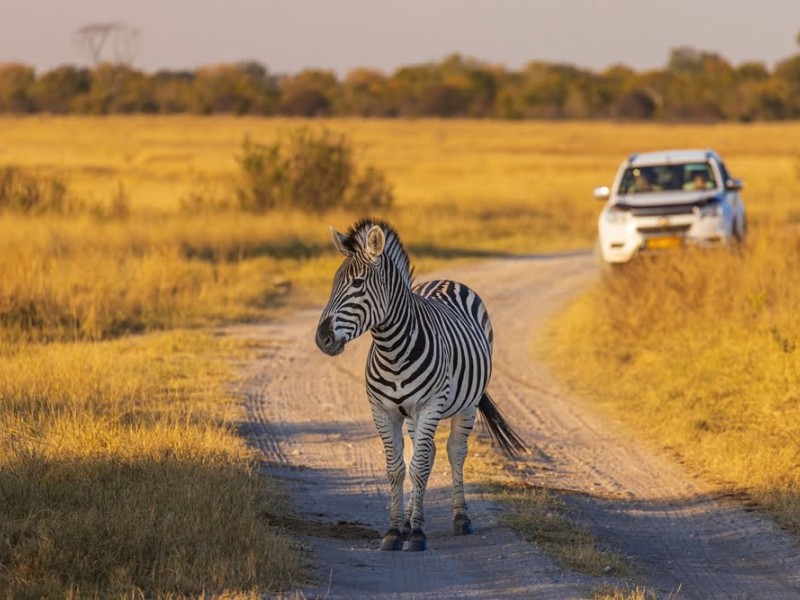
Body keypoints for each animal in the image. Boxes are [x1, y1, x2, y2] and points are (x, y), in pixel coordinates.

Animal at [315, 218, 526, 552]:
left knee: (454, 451)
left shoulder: (428, 406)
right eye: (334, 283)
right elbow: (397, 468)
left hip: (465, 404)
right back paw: (410, 519)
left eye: (358, 284)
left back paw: (460, 518)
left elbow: (421, 466)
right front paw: (395, 530)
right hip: (415, 415)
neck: (391, 349)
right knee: (426, 453)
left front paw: (416, 533)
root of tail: (446, 280)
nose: (322, 339)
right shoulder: (383, 411)